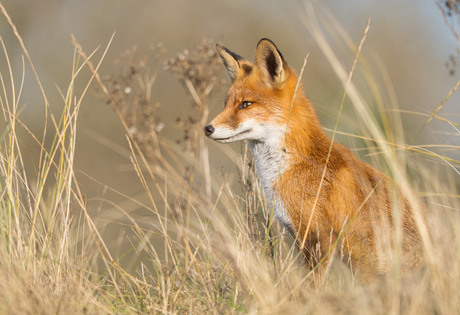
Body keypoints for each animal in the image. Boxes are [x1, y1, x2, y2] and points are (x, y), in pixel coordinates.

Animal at [203, 38, 426, 286]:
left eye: (245, 104)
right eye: (226, 104)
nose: (207, 128)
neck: (292, 165)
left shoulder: (319, 237)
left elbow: (310, 287)